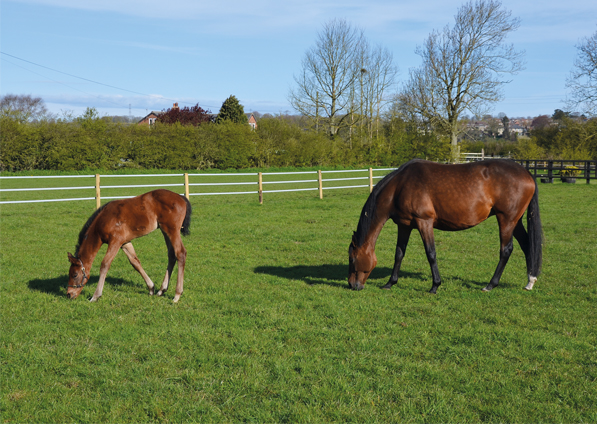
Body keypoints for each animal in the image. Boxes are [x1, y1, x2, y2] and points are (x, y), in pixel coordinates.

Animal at [346, 160, 544, 294]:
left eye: (352, 258)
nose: (352, 285)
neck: (400, 186)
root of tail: (526, 173)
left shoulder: (424, 222)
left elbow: (431, 254)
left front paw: (435, 285)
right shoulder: (404, 226)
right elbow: (399, 254)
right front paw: (390, 283)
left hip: (507, 220)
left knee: (506, 250)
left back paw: (490, 285)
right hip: (515, 221)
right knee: (527, 245)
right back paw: (530, 281)